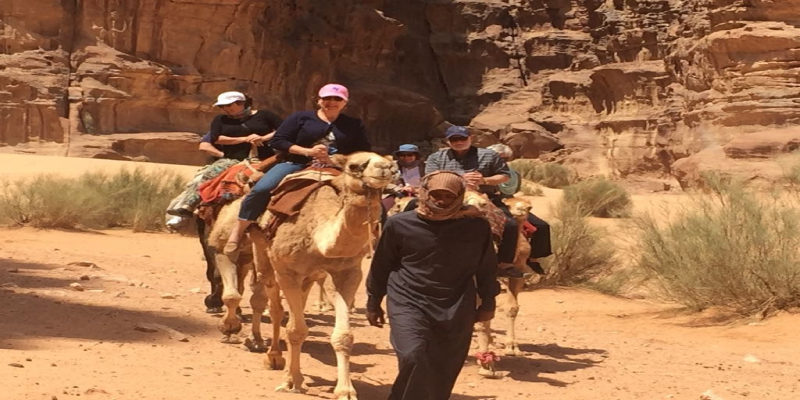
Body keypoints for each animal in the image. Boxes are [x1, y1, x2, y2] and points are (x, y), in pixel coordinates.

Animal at [206, 152, 394, 398]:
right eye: (354, 165)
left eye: (390, 163)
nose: (385, 169)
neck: (318, 235)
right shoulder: (287, 271)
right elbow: (295, 329)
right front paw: (293, 381)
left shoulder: (348, 273)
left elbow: (343, 336)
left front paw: (344, 390)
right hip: (259, 254)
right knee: (267, 302)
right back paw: (260, 347)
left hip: (304, 276)